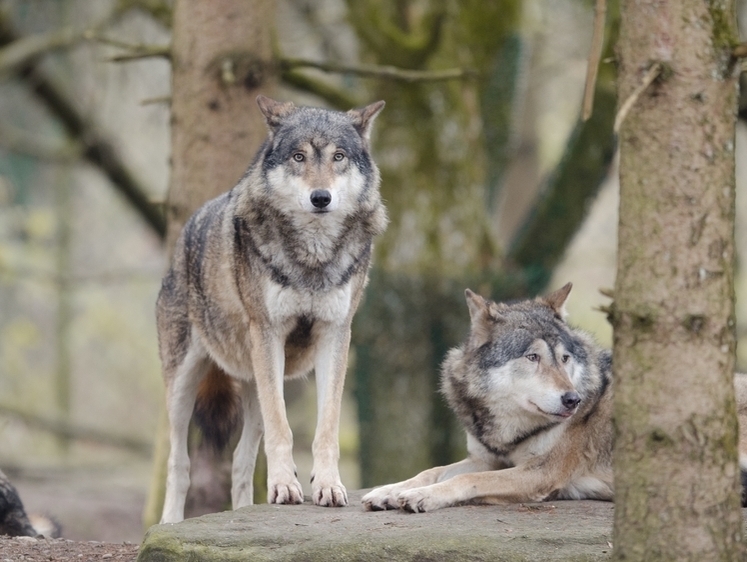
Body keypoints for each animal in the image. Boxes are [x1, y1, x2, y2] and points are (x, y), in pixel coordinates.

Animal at [161, 95, 388, 520]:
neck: (312, 257)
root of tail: (184, 234)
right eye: (299, 156)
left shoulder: (336, 334)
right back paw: (167, 524)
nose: (321, 197)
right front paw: (284, 486)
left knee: (240, 463)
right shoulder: (268, 333)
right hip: (184, 387)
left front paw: (328, 486)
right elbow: (283, 430)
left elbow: (327, 428)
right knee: (179, 466)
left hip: (256, 385)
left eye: (338, 156)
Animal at [362, 284, 747, 512]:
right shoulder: (487, 459)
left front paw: (421, 497)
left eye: (564, 358)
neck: (509, 431)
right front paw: (391, 491)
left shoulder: (539, 473)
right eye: (532, 357)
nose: (572, 400)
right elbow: (433, 470)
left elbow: (465, 481)